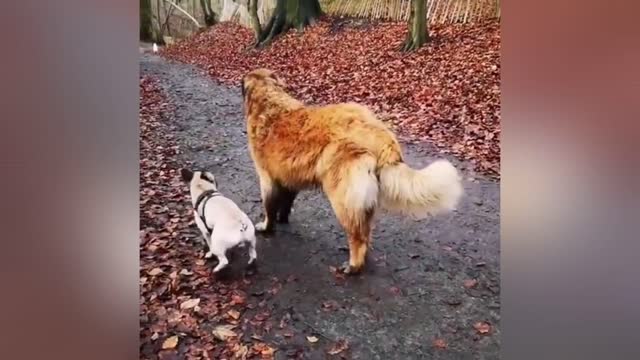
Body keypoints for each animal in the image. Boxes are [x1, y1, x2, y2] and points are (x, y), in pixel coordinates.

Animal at [242, 67, 462, 274]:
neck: (269, 99)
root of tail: (380, 135)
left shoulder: (267, 178)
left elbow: (269, 206)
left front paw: (267, 226)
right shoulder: (288, 178)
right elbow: (285, 203)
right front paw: (283, 219)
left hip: (342, 195)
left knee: (356, 235)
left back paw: (353, 265)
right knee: (365, 231)